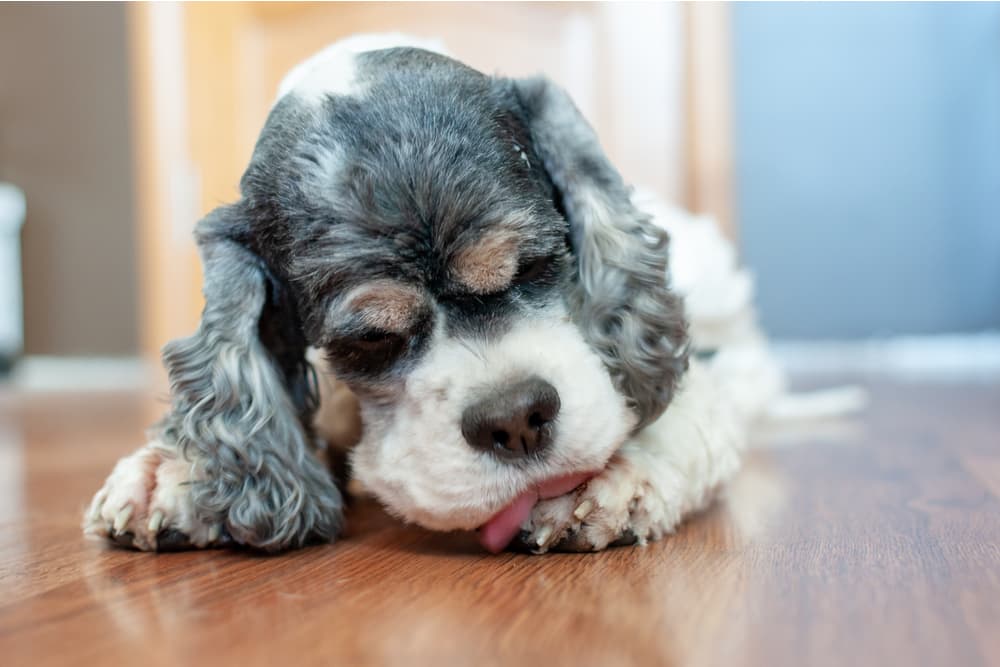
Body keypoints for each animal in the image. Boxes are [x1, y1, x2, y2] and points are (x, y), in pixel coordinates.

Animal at [86, 34, 852, 556]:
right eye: (371, 339)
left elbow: (681, 409)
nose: (516, 418)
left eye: (536, 264)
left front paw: (618, 474)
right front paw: (174, 471)